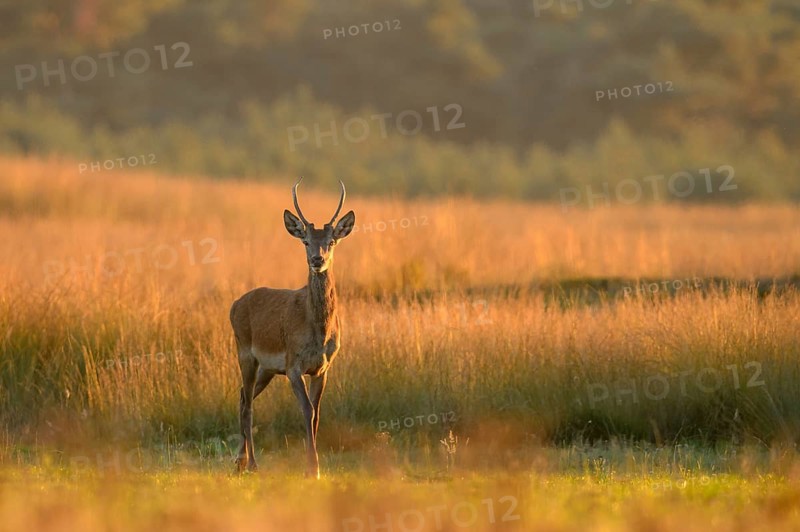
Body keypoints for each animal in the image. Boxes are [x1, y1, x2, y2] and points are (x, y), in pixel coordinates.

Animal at [229, 178, 355, 478]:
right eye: (306, 241)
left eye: (331, 241)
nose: (317, 260)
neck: (317, 331)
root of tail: (234, 305)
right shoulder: (293, 364)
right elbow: (306, 410)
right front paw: (313, 468)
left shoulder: (323, 367)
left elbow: (317, 413)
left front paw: (314, 465)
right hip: (245, 353)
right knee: (247, 403)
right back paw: (251, 463)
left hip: (266, 368)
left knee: (242, 396)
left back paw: (239, 460)